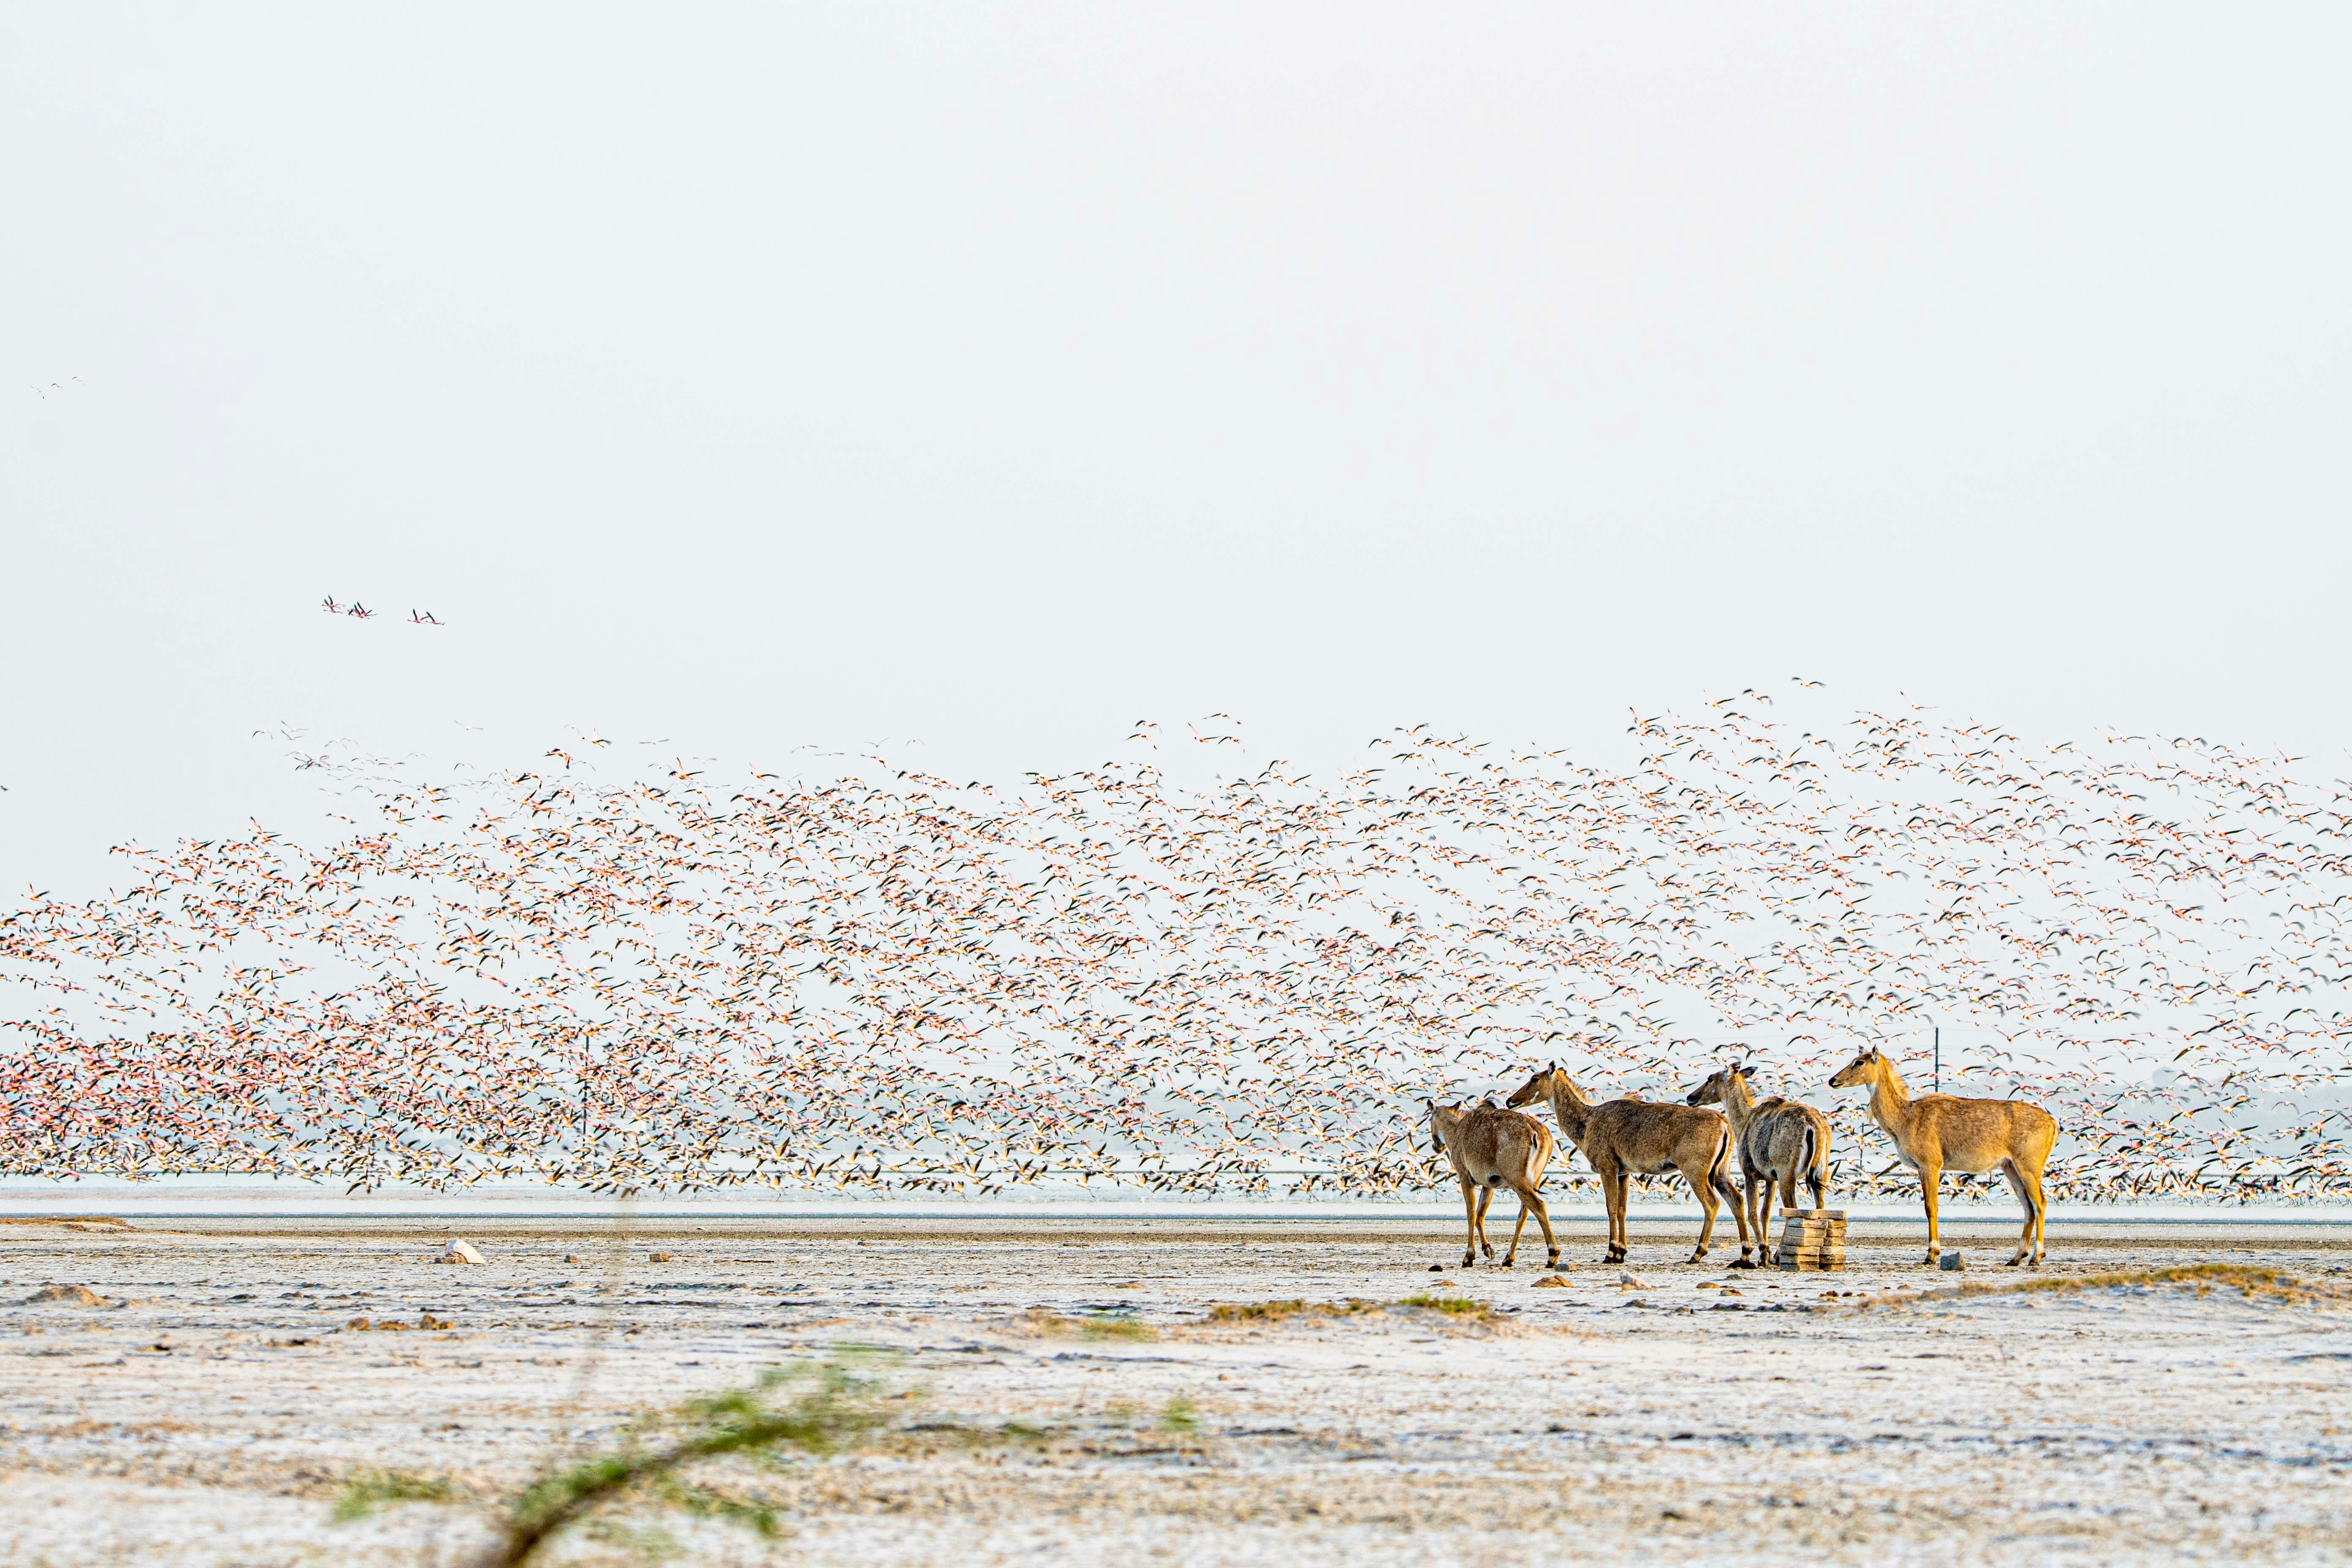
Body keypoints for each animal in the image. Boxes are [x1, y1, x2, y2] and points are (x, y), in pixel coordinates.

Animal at [1426, 1099, 1560, 1270]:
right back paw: (1508, 1258)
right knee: (1524, 1214)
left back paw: (1552, 1256)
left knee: (1539, 1206)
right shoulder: (1489, 1184)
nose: (1436, 1146)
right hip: (1534, 1180)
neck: (1456, 1131)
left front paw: (1469, 1257)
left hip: (1517, 1180)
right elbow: (1481, 1214)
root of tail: (1539, 1134)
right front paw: (1488, 1250)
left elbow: (1471, 1214)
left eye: (1430, 1118)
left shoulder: (1465, 1176)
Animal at [1505, 1064, 1748, 1266]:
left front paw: (1611, 1253)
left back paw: (1698, 1253)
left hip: (1696, 1171)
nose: (1510, 1101)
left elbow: (1611, 1208)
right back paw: (1745, 1254)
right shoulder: (1625, 1173)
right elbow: (1622, 1210)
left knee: (1712, 1203)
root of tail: (1724, 1124)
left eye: (1535, 1079)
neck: (1587, 1121)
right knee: (1736, 1199)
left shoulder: (1607, 1169)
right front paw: (1621, 1253)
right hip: (1721, 1172)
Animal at [1685, 1062, 1832, 1268]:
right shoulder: (1772, 1179)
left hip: (1788, 1176)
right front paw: (1765, 1255)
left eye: (1710, 1078)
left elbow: (1753, 1212)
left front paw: (1764, 1253)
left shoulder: (1751, 1174)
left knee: (1793, 1210)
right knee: (1820, 1208)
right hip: (1820, 1174)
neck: (1745, 1121)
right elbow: (1765, 1214)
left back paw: (1780, 1255)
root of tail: (1813, 1126)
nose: (1691, 1098)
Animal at [1828, 1047, 2058, 1267]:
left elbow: (1931, 1208)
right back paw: (2017, 1257)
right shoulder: (1924, 1168)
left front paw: (1932, 1254)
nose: (1833, 1081)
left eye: (1859, 1062)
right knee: (2028, 1207)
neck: (1905, 1119)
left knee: (2040, 1203)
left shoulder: (1931, 1164)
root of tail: (2053, 1124)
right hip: (2010, 1167)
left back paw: (2037, 1257)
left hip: (2029, 1166)